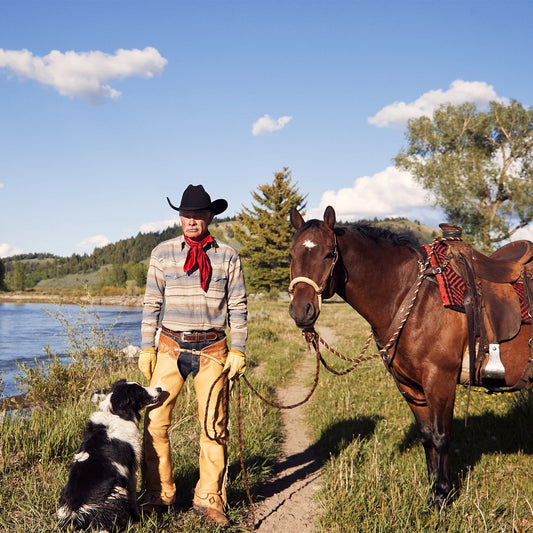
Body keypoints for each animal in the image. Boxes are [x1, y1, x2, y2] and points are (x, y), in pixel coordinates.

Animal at [57, 380, 162, 528]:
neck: (116, 414)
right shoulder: (132, 469)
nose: (160, 388)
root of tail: (75, 514)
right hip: (117, 491)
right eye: (140, 390)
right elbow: (133, 499)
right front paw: (137, 519)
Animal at [288, 206, 532, 504]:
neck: (414, 298)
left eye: (329, 254)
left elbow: (441, 436)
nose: (301, 310)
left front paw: (441, 496)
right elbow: (426, 436)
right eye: (291, 255)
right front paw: (432, 489)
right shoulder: (410, 384)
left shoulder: (440, 380)